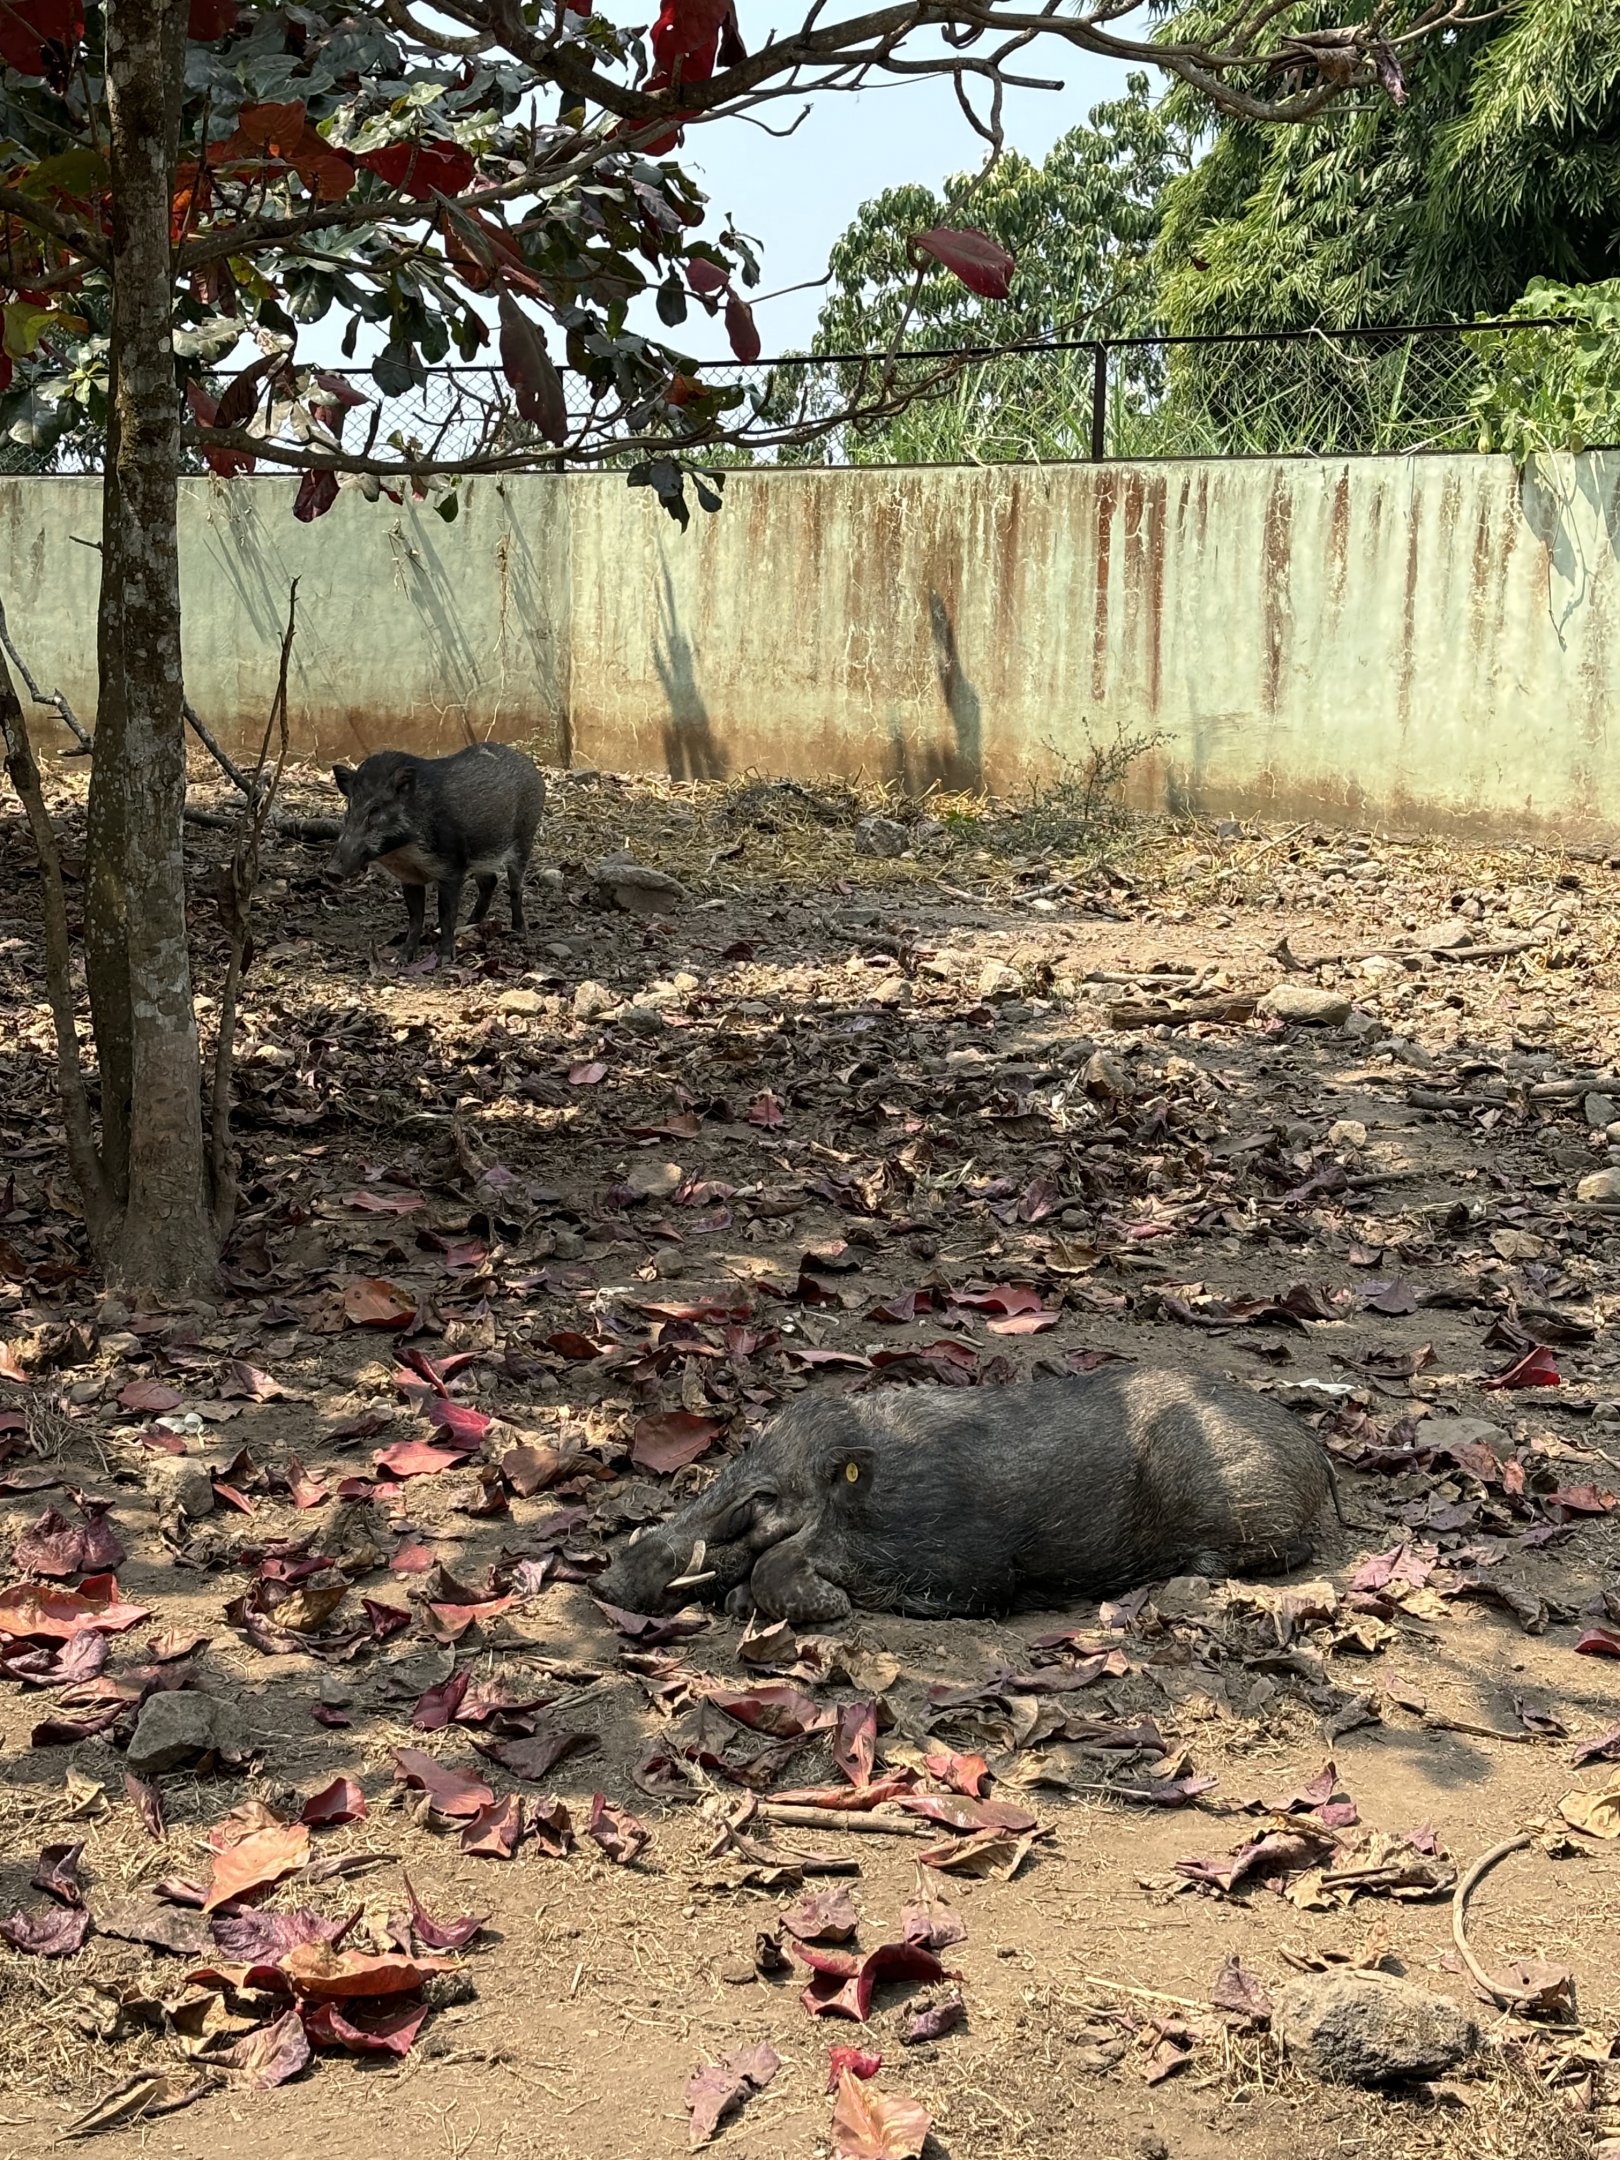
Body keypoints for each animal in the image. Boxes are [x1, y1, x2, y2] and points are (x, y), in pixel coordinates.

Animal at [328, 743, 545, 964]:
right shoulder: (410, 878)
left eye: (376, 809)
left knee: (515, 888)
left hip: (525, 838)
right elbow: (415, 918)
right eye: (349, 809)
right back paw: (470, 925)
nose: (331, 871)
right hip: (484, 857)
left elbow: (446, 914)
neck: (405, 851)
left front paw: (445, 959)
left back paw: (519, 933)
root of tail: (531, 767)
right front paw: (401, 959)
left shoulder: (452, 868)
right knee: (489, 882)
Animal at [596, 1368, 1335, 1625]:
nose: (605, 1583)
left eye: (762, 1498)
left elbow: (783, 1563)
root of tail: (1315, 1452)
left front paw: (822, 1606)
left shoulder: (963, 1571)